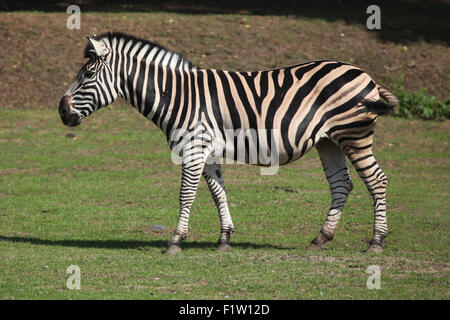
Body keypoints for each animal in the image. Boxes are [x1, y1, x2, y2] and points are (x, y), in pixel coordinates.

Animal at [59, 33, 398, 255]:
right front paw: (224, 239)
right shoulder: (206, 152)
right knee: (342, 184)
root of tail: (365, 75)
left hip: (354, 135)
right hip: (329, 141)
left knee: (377, 181)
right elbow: (217, 192)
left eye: (88, 74)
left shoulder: (193, 147)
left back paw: (376, 241)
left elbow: (186, 195)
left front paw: (175, 241)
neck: (178, 95)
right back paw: (321, 238)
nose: (61, 111)